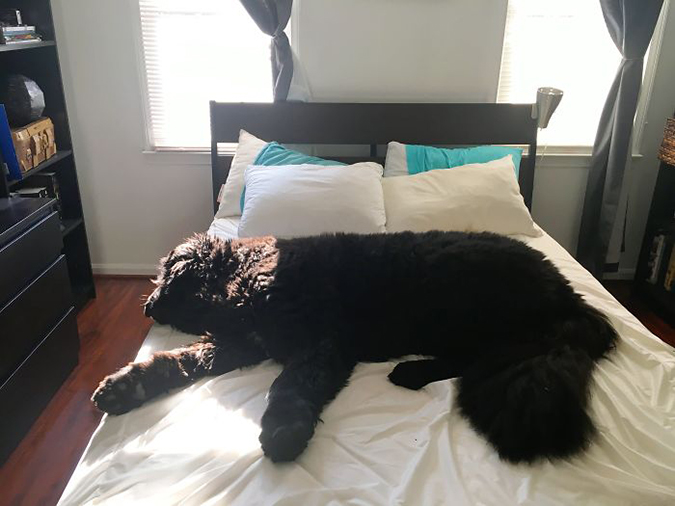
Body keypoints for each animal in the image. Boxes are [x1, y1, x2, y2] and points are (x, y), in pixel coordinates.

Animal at [93, 231, 616, 464]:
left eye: (163, 275)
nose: (146, 306)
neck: (242, 276)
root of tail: (567, 294)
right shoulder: (238, 344)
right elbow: (174, 361)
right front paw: (127, 386)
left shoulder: (320, 344)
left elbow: (290, 387)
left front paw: (283, 430)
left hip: (471, 317)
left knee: (473, 359)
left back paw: (411, 372)